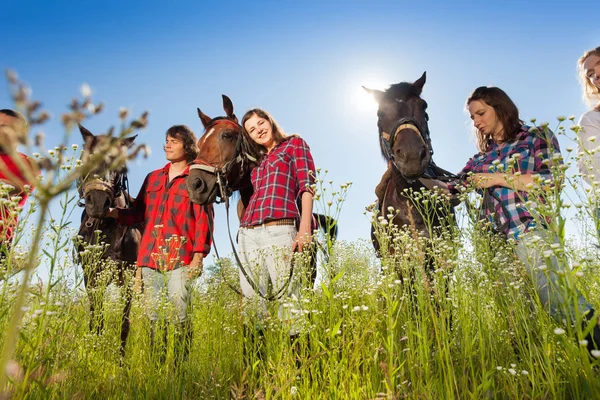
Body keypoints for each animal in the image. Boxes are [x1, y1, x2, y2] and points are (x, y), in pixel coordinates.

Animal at [74, 126, 141, 356]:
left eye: (119, 163)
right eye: (85, 158)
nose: (97, 202)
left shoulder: (129, 275)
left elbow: (125, 322)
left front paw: (120, 359)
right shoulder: (91, 275)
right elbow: (97, 317)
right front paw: (94, 350)